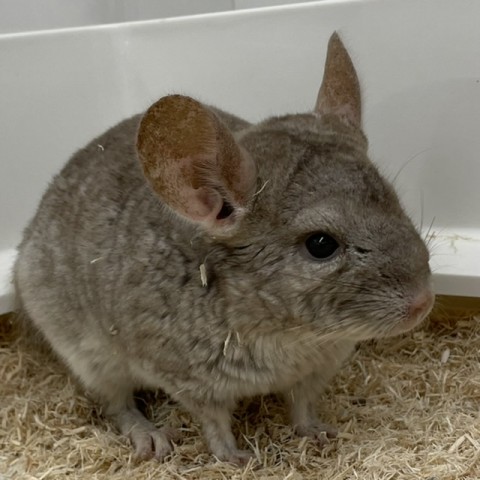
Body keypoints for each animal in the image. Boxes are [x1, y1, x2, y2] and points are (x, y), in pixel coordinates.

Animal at [14, 32, 434, 464]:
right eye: (321, 245)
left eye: (395, 201)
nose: (423, 302)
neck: (291, 336)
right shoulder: (190, 381)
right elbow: (214, 425)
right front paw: (238, 459)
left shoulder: (314, 371)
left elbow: (302, 405)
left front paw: (318, 433)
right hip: (89, 359)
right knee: (116, 404)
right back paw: (151, 438)